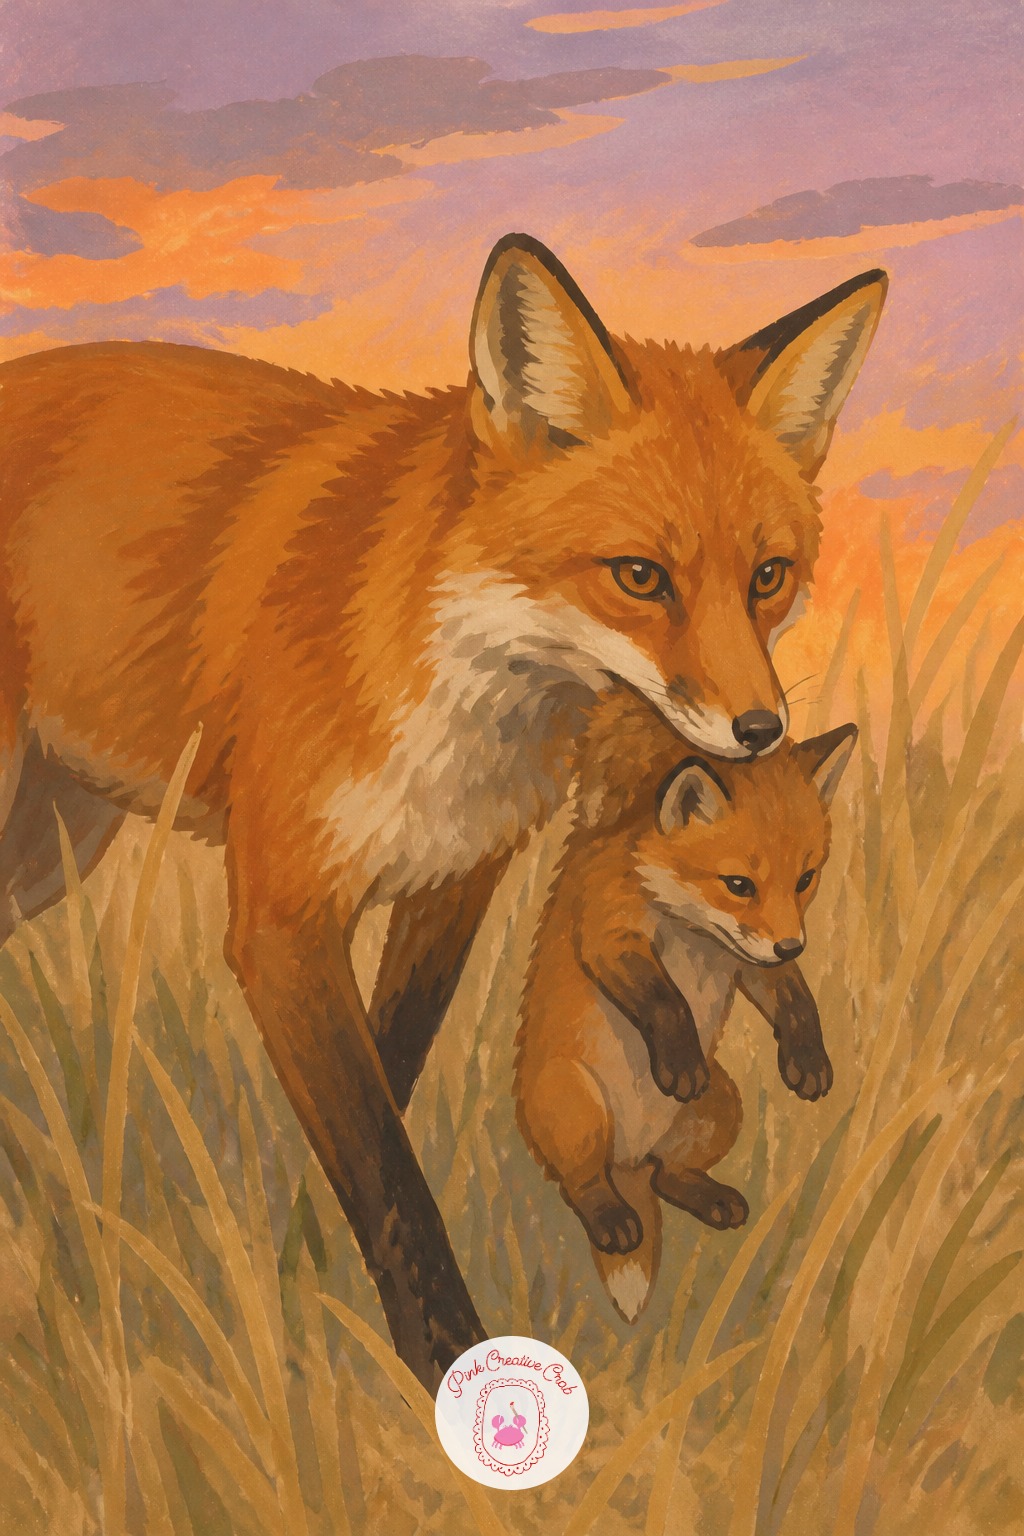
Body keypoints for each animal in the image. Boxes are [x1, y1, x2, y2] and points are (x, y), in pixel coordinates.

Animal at [515, 706, 857, 1323]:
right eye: (739, 884)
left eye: (805, 879)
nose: (793, 945)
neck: (690, 927)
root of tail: (628, 1153)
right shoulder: (609, 932)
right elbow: (664, 999)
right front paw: (679, 1062)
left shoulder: (748, 959)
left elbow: (796, 1000)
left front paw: (808, 1060)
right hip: (575, 1106)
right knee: (579, 1185)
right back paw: (612, 1219)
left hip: (722, 1106)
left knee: (668, 1177)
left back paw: (710, 1197)